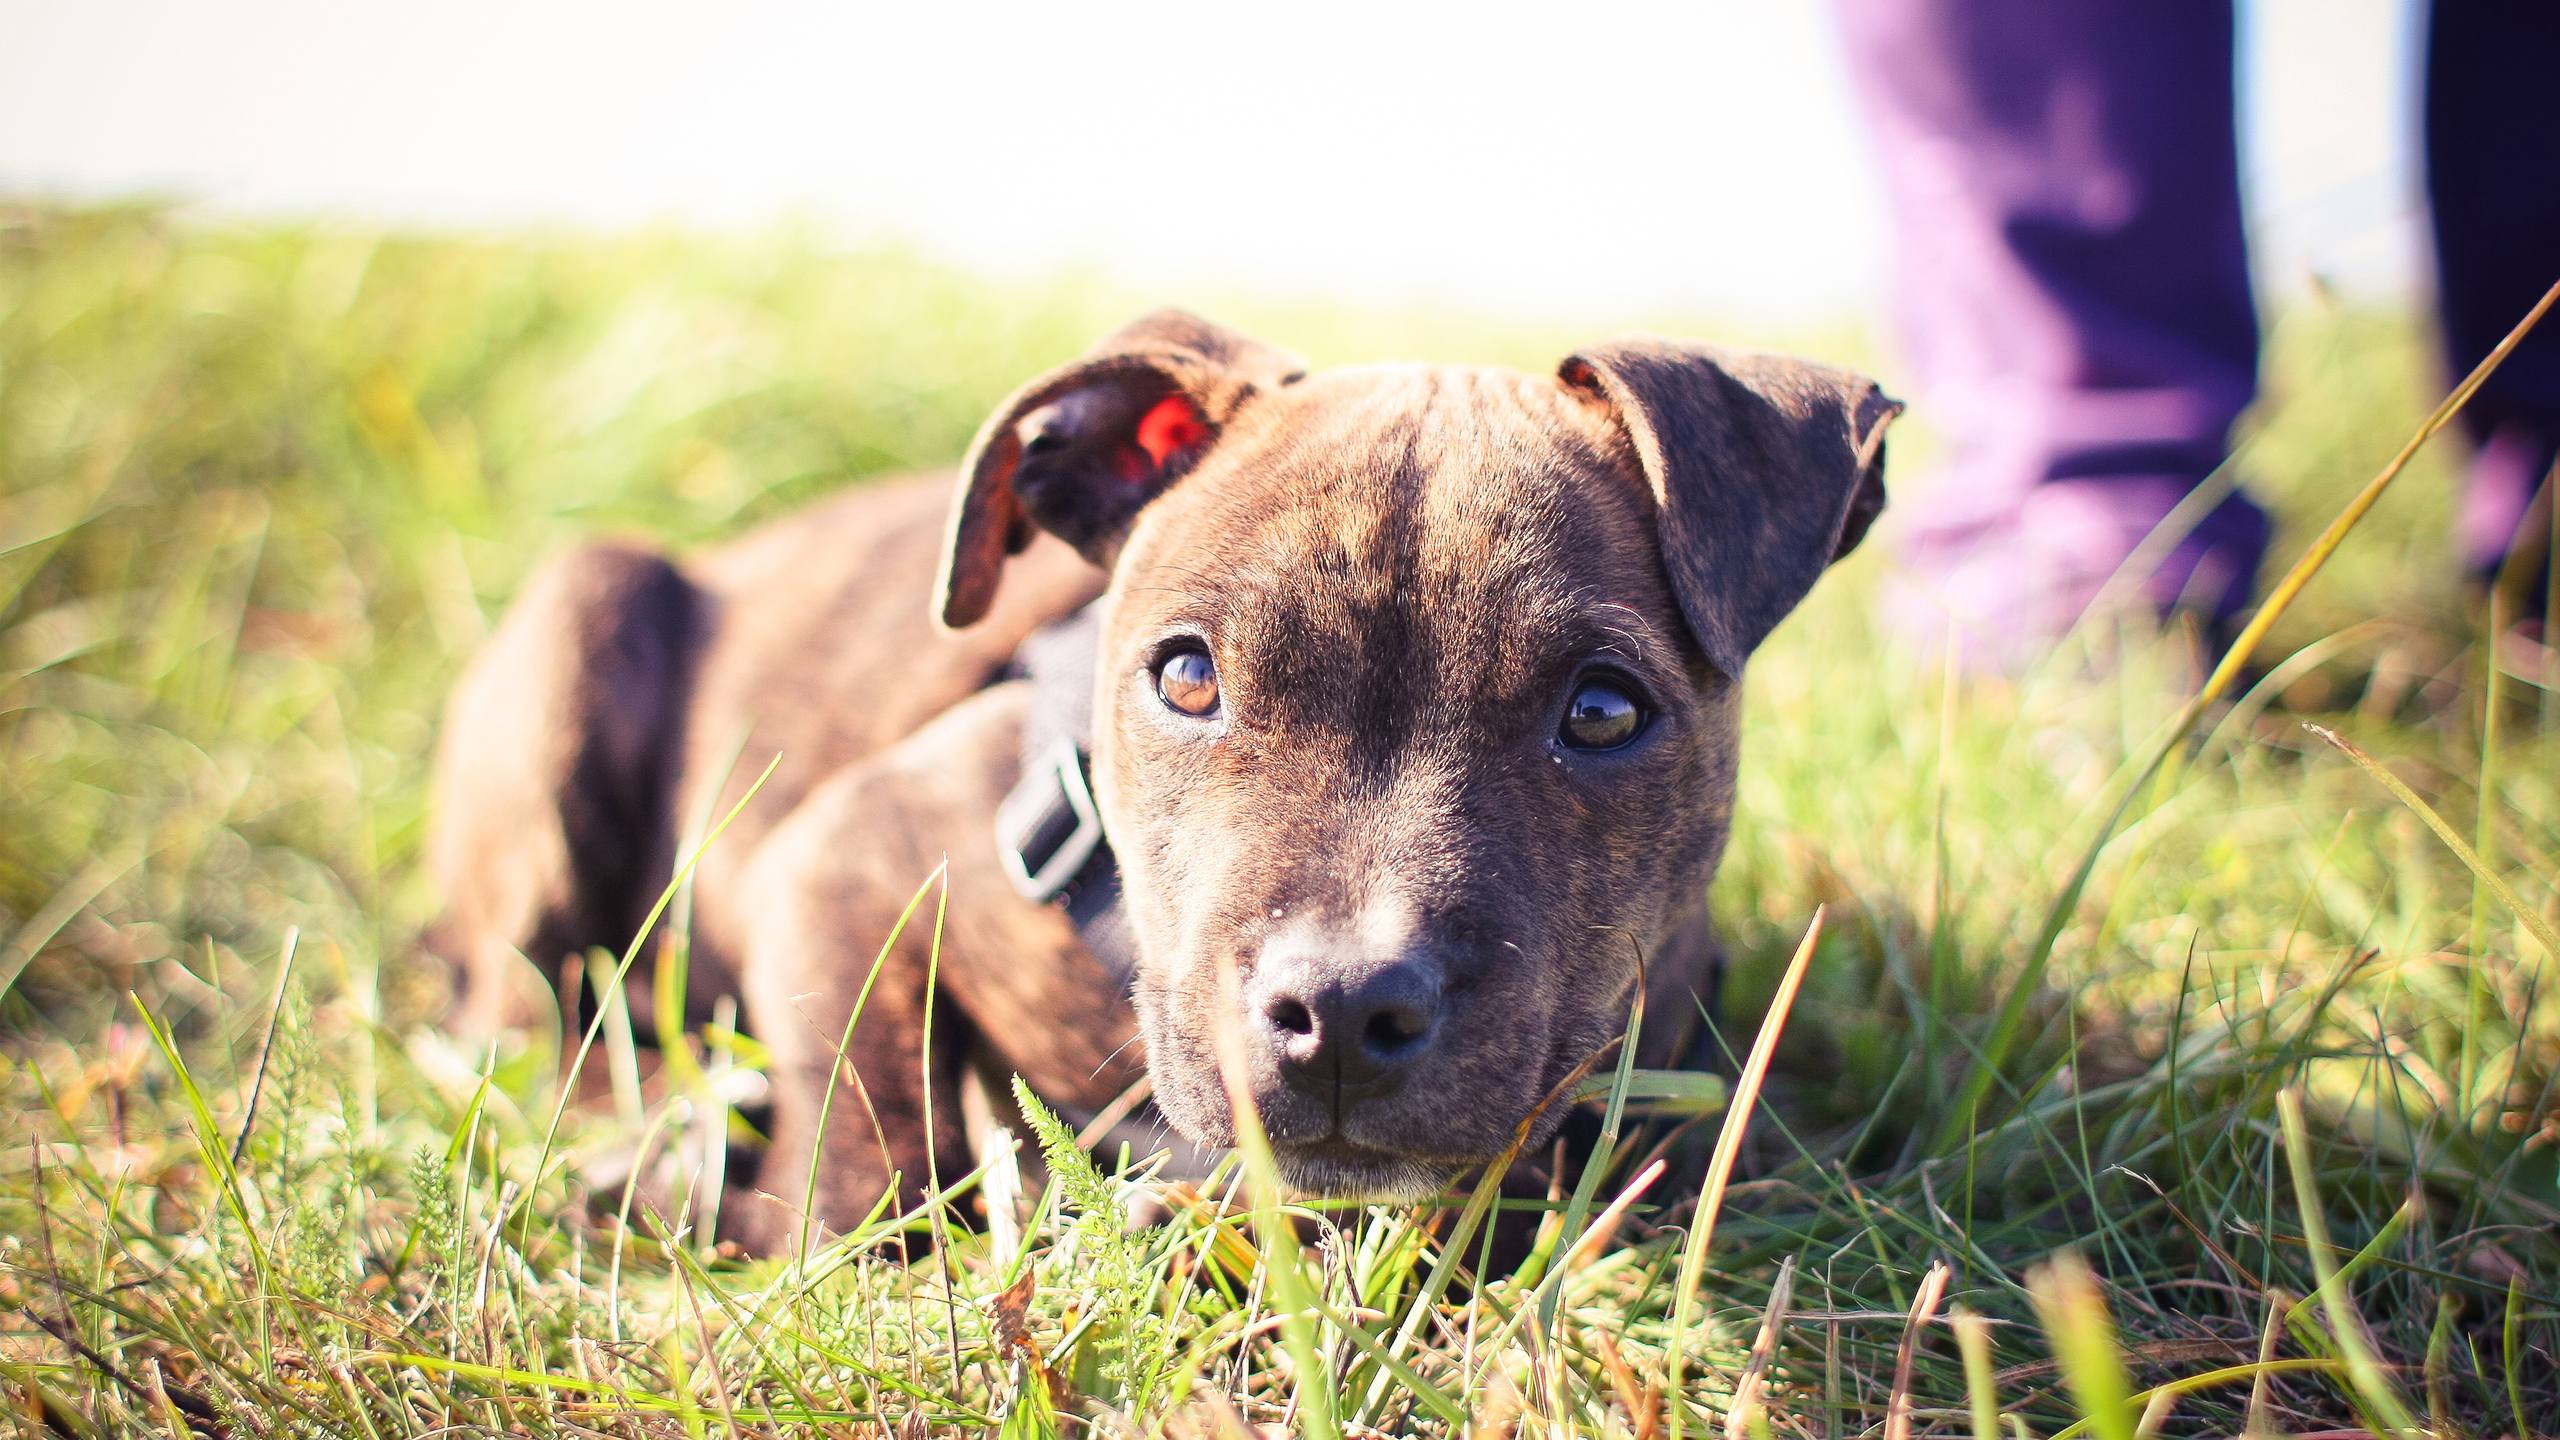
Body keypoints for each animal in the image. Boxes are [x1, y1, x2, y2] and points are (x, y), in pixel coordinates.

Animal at [430, 311, 1894, 1245]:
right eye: (1187, 677)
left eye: (1601, 711)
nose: (1343, 1009)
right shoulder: (848, 851)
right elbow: (873, 1147)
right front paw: (793, 1226)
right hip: (578, 626)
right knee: (524, 1003)